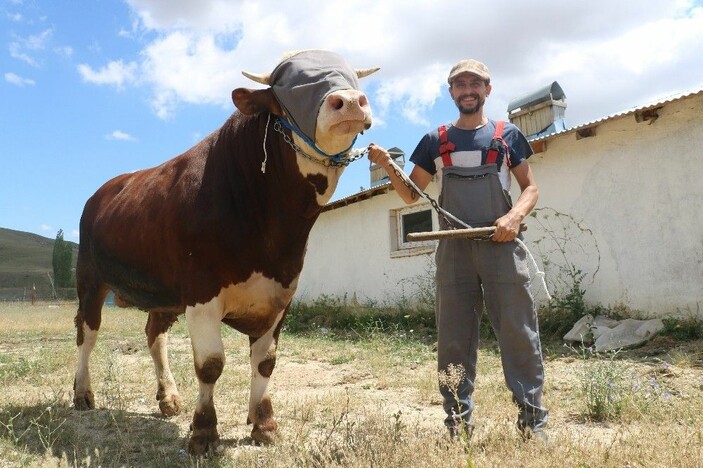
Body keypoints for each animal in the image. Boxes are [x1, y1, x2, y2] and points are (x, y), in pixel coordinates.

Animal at [73, 50, 376, 454]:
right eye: (288, 89)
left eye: (353, 79)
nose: (350, 101)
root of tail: (104, 190)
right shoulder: (202, 294)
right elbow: (210, 364)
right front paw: (203, 432)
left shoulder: (280, 295)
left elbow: (265, 363)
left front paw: (263, 424)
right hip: (90, 279)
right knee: (86, 334)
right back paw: (82, 394)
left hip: (164, 294)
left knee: (155, 335)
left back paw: (168, 397)